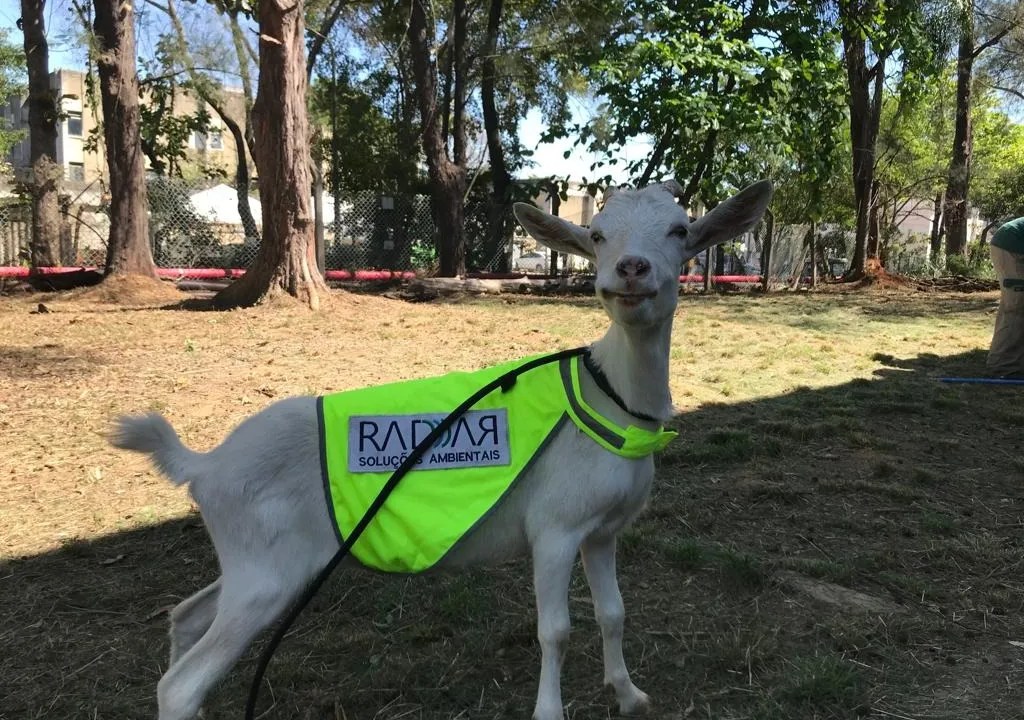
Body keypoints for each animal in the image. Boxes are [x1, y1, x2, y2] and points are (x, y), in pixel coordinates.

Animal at [110, 180, 770, 720]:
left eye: (680, 230)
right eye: (599, 234)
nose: (631, 270)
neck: (610, 399)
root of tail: (204, 464)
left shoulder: (603, 530)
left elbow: (614, 612)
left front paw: (629, 694)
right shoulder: (554, 527)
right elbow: (554, 630)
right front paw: (549, 711)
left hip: (252, 562)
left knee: (186, 616)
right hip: (266, 572)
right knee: (180, 684)